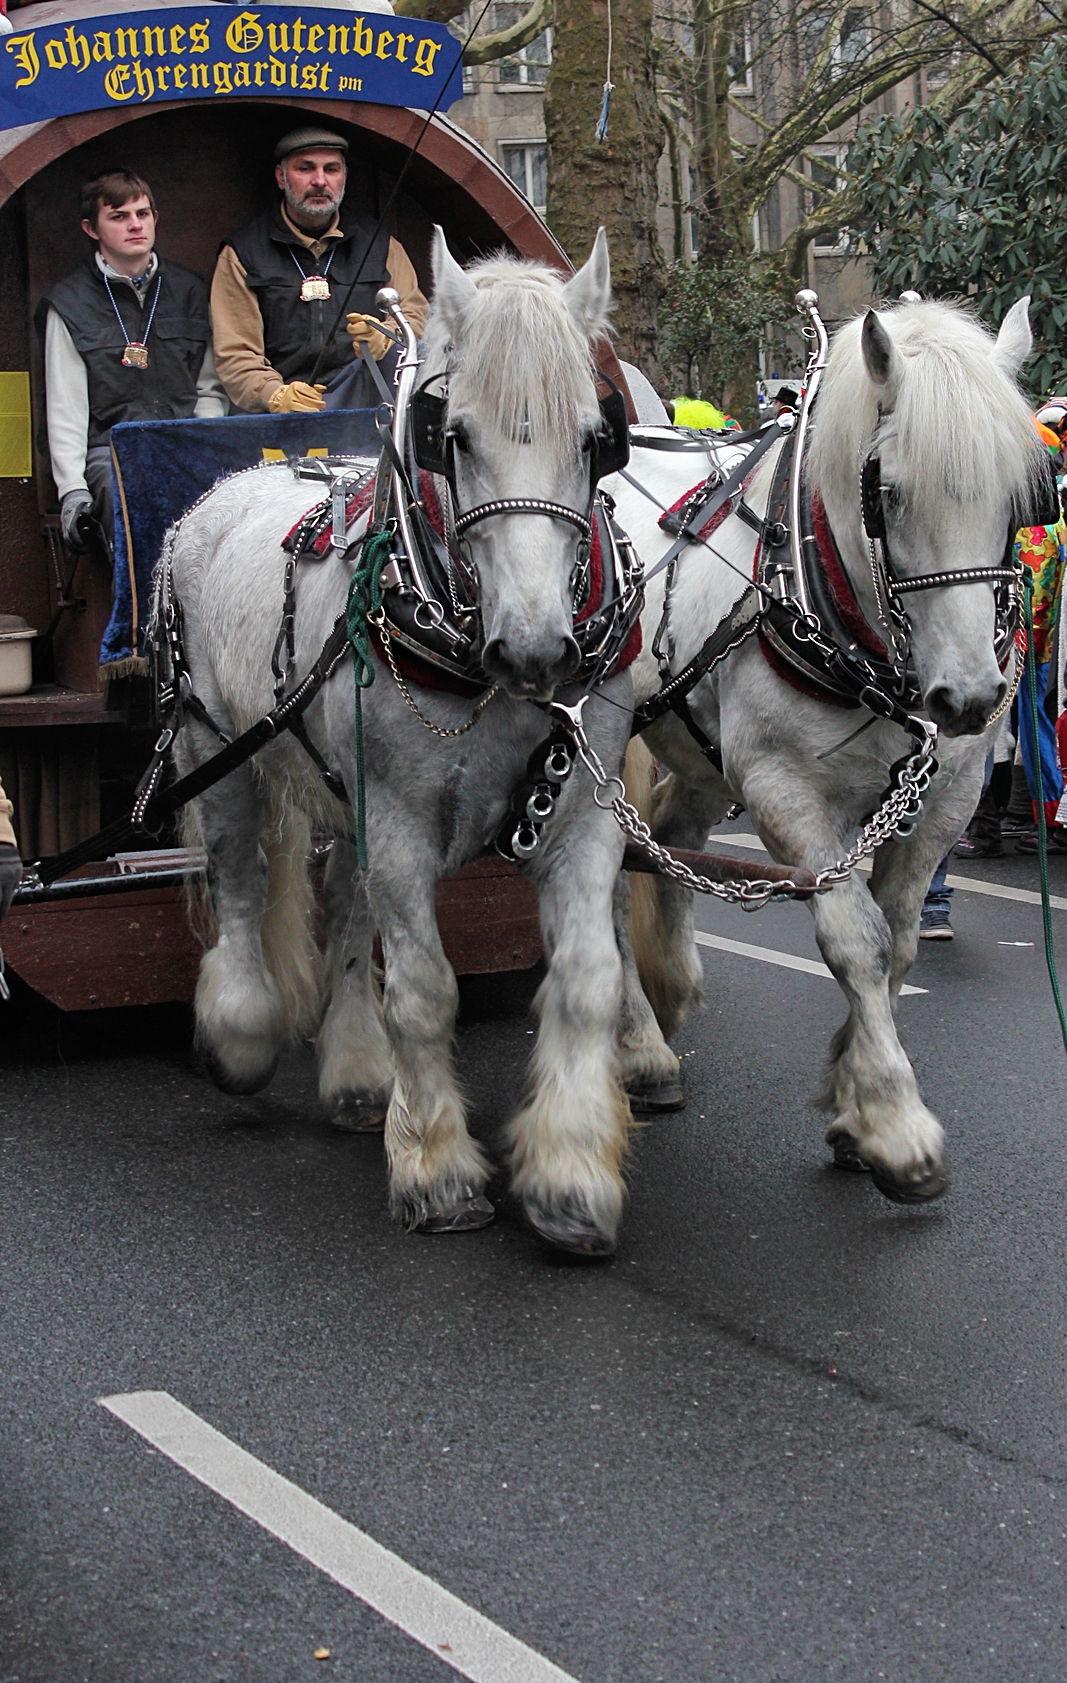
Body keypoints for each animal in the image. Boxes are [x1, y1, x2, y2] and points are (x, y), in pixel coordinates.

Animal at [167, 227, 636, 1252]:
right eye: (451, 437)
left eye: (595, 438)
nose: (537, 649)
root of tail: (239, 482)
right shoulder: (402, 827)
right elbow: (423, 991)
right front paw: (436, 1169)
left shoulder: (581, 816)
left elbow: (587, 978)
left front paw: (570, 1176)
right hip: (213, 754)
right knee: (238, 881)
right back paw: (240, 1032)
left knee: (344, 911)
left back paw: (353, 1072)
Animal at [609, 299, 1043, 1198]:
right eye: (890, 493)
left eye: (1021, 496)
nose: (969, 698)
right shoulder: (783, 790)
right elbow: (856, 941)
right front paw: (892, 1120)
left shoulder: (943, 798)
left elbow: (899, 938)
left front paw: (849, 1103)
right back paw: (637, 1044)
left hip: (699, 751)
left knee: (665, 838)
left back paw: (669, 997)